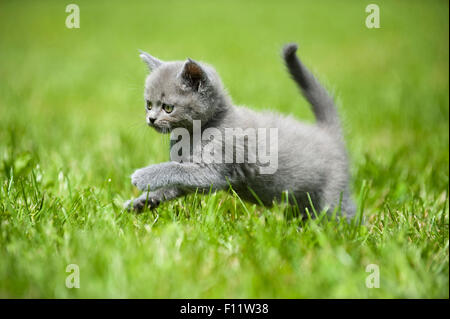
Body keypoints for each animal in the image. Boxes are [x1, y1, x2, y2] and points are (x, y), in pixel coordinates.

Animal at [124, 43, 356, 219]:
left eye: (167, 108)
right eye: (148, 105)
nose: (151, 119)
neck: (191, 136)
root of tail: (327, 131)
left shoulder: (212, 172)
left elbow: (174, 169)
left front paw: (143, 175)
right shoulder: (190, 177)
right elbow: (174, 184)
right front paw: (143, 201)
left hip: (333, 193)